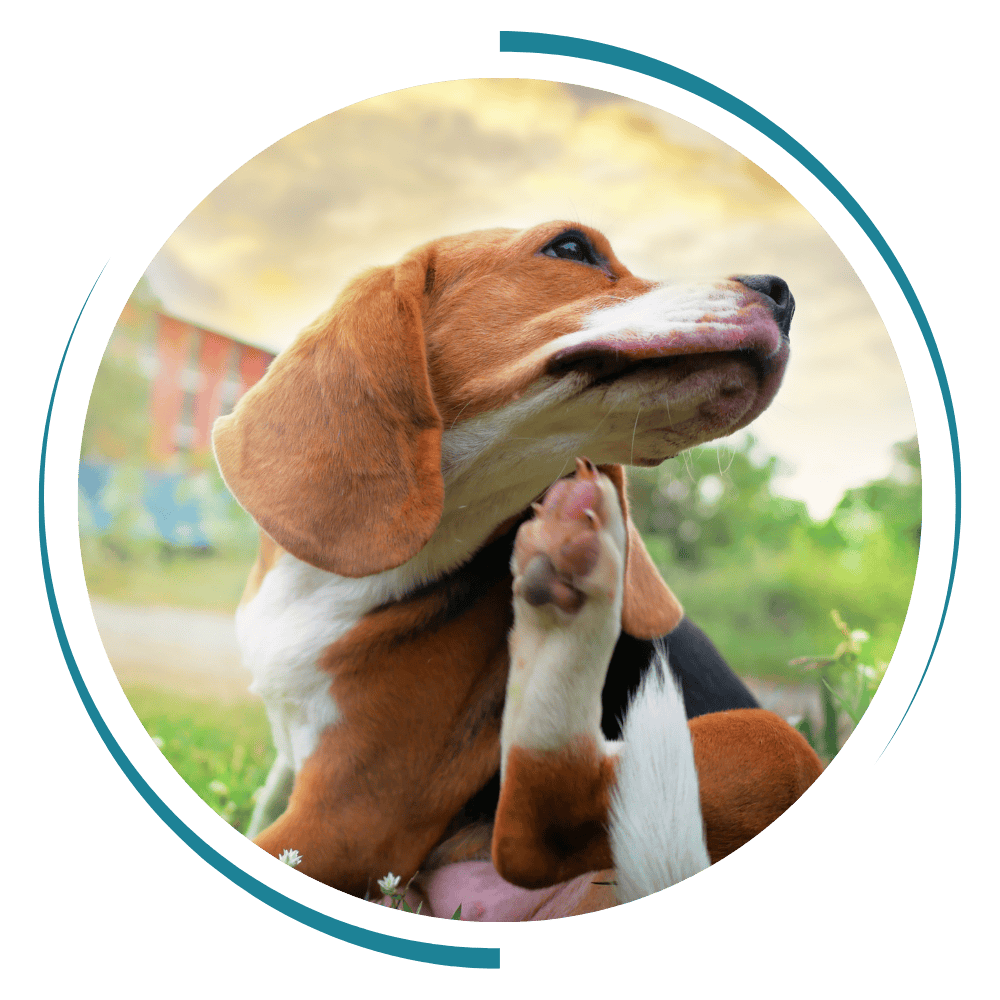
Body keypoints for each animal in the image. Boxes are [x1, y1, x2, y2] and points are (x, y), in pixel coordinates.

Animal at [211, 223, 820, 916]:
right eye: (571, 248)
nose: (782, 293)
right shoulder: (296, 775)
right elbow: (262, 806)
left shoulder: (347, 820)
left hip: (770, 742)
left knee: (541, 831)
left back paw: (568, 623)